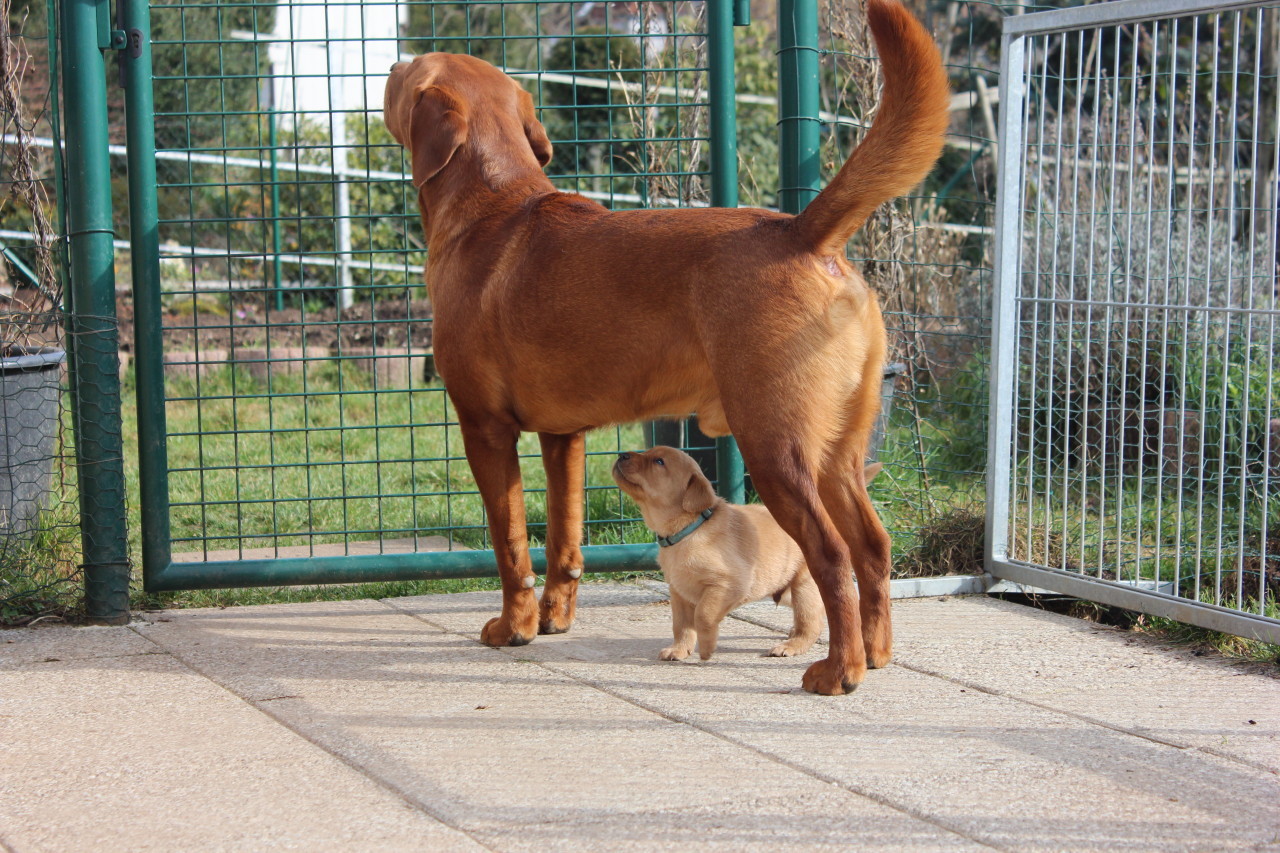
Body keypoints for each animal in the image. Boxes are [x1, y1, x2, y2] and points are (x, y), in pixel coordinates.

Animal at [611, 448, 870, 660]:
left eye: (659, 461)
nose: (622, 455)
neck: (689, 529)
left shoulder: (729, 584)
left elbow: (703, 615)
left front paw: (707, 647)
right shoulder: (679, 591)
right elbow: (681, 625)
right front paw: (679, 649)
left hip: (804, 585)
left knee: (811, 622)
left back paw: (791, 645)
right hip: (782, 587)